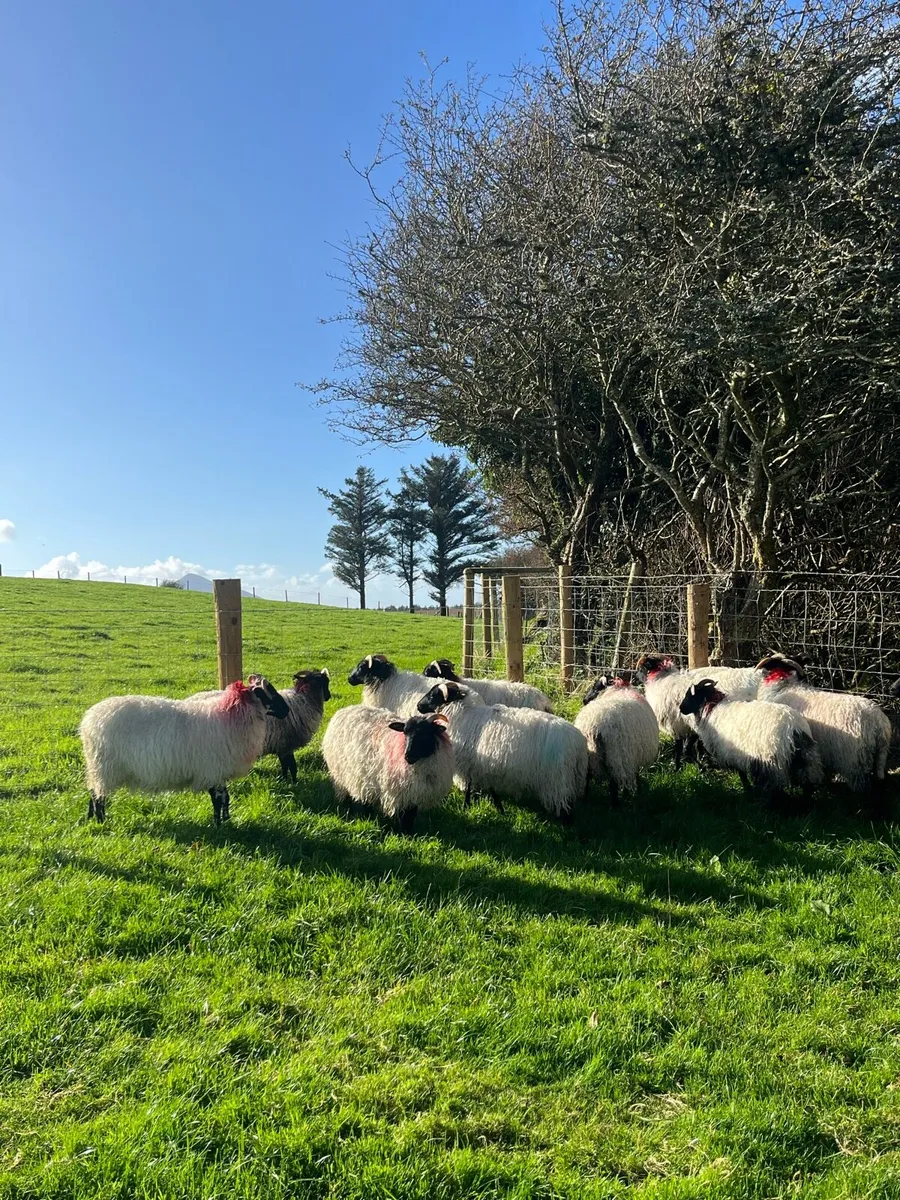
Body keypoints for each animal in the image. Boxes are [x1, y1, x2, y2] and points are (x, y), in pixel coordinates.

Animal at [79, 675, 290, 825]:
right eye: (268, 691)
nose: (286, 710)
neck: (234, 715)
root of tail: (89, 721)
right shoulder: (212, 770)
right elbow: (218, 799)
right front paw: (218, 825)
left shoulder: (218, 772)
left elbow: (225, 799)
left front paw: (226, 821)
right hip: (106, 767)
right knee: (99, 797)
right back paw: (102, 821)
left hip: (97, 767)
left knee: (93, 792)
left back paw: (91, 820)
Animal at [321, 705, 454, 833]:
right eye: (405, 733)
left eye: (425, 733)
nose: (408, 756)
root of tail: (343, 710)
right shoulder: (401, 791)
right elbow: (405, 816)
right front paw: (405, 834)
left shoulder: (413, 792)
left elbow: (410, 815)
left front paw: (409, 833)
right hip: (343, 774)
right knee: (348, 794)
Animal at [417, 681, 589, 822]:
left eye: (433, 695)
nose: (418, 706)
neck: (465, 714)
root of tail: (579, 743)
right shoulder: (485, 765)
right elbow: (490, 789)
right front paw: (498, 807)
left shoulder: (468, 765)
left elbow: (468, 789)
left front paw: (466, 806)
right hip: (570, 779)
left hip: (557, 781)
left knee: (565, 808)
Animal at [574, 671, 659, 803]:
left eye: (596, 687)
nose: (584, 700)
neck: (615, 689)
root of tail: (593, 724)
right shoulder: (631, 756)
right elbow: (635, 775)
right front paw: (635, 792)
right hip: (616, 754)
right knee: (613, 782)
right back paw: (616, 804)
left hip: (588, 753)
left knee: (586, 778)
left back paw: (584, 800)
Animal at [679, 677, 823, 800]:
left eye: (689, 694)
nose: (681, 708)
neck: (711, 708)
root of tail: (792, 727)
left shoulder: (733, 754)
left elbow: (742, 774)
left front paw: (747, 790)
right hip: (805, 759)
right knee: (807, 783)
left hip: (769, 762)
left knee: (775, 789)